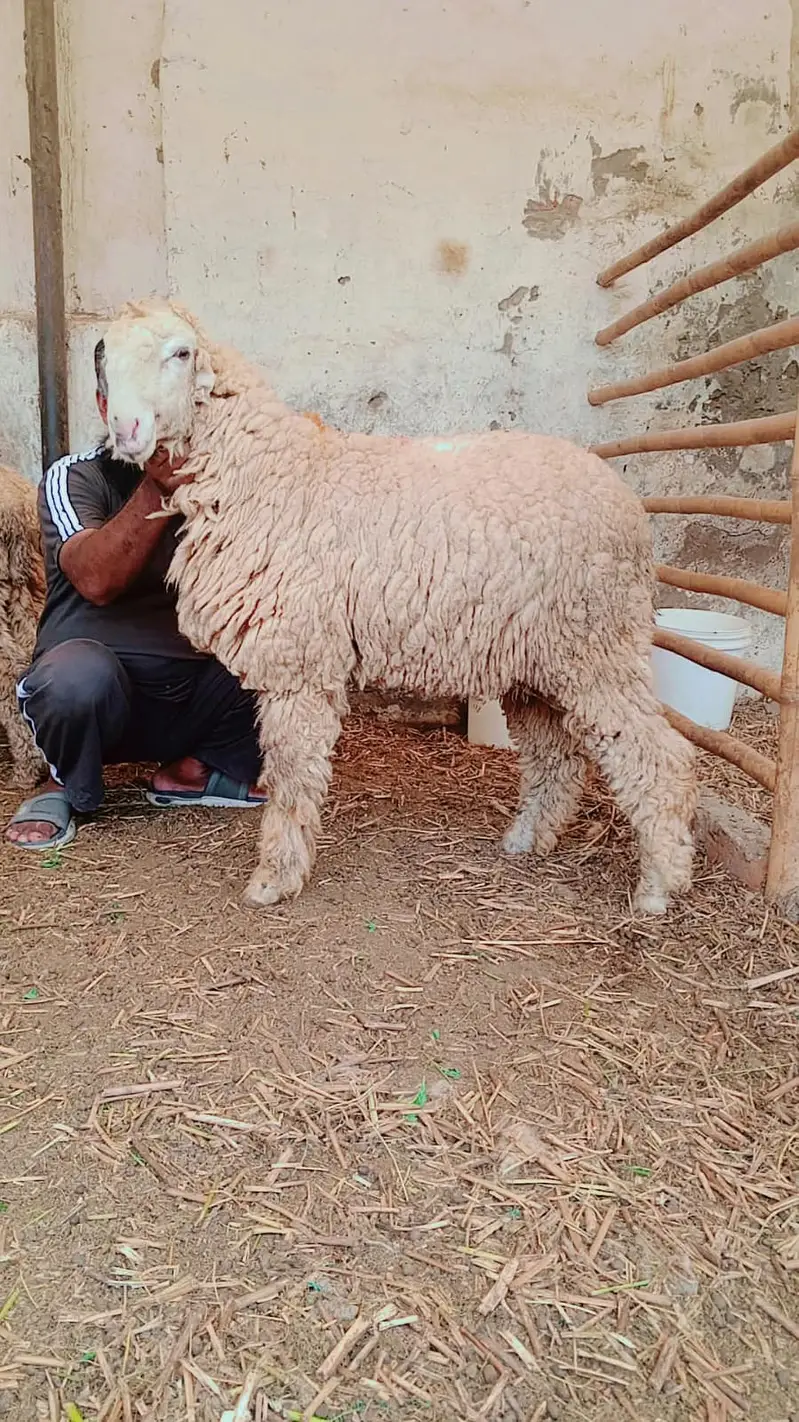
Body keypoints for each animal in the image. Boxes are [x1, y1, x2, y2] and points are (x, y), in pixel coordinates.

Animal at [100, 297, 696, 915]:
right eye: (102, 355)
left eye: (181, 352)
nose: (126, 429)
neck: (272, 473)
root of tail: (628, 503)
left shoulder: (299, 663)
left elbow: (291, 774)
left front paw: (274, 878)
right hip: (537, 658)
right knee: (557, 756)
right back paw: (528, 839)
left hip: (600, 642)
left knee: (660, 757)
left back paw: (657, 887)